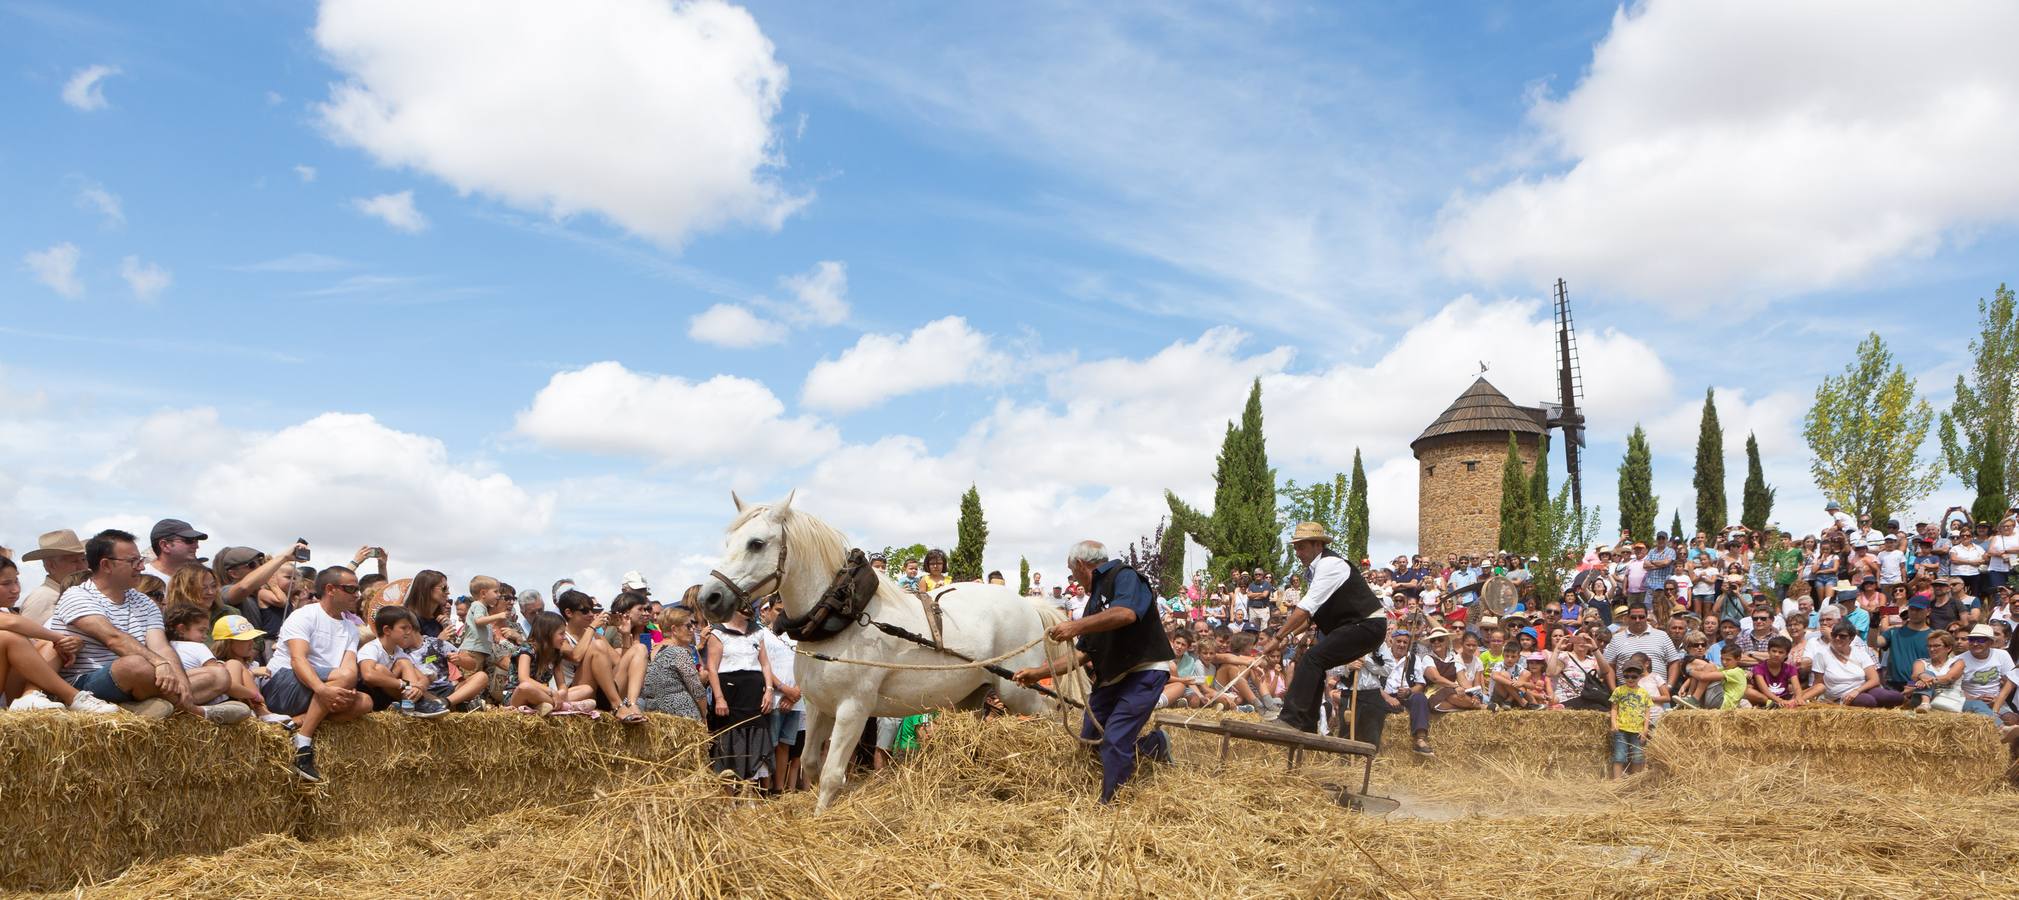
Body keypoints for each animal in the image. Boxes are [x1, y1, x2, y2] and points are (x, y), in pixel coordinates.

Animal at [698, 496, 1090, 811]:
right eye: (729, 541)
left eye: (756, 544)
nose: (709, 598)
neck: (842, 618)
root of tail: (1030, 605)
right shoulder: (817, 706)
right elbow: (810, 763)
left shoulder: (854, 707)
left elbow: (832, 773)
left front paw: (822, 818)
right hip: (982, 694)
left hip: (1020, 689)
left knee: (1053, 715)